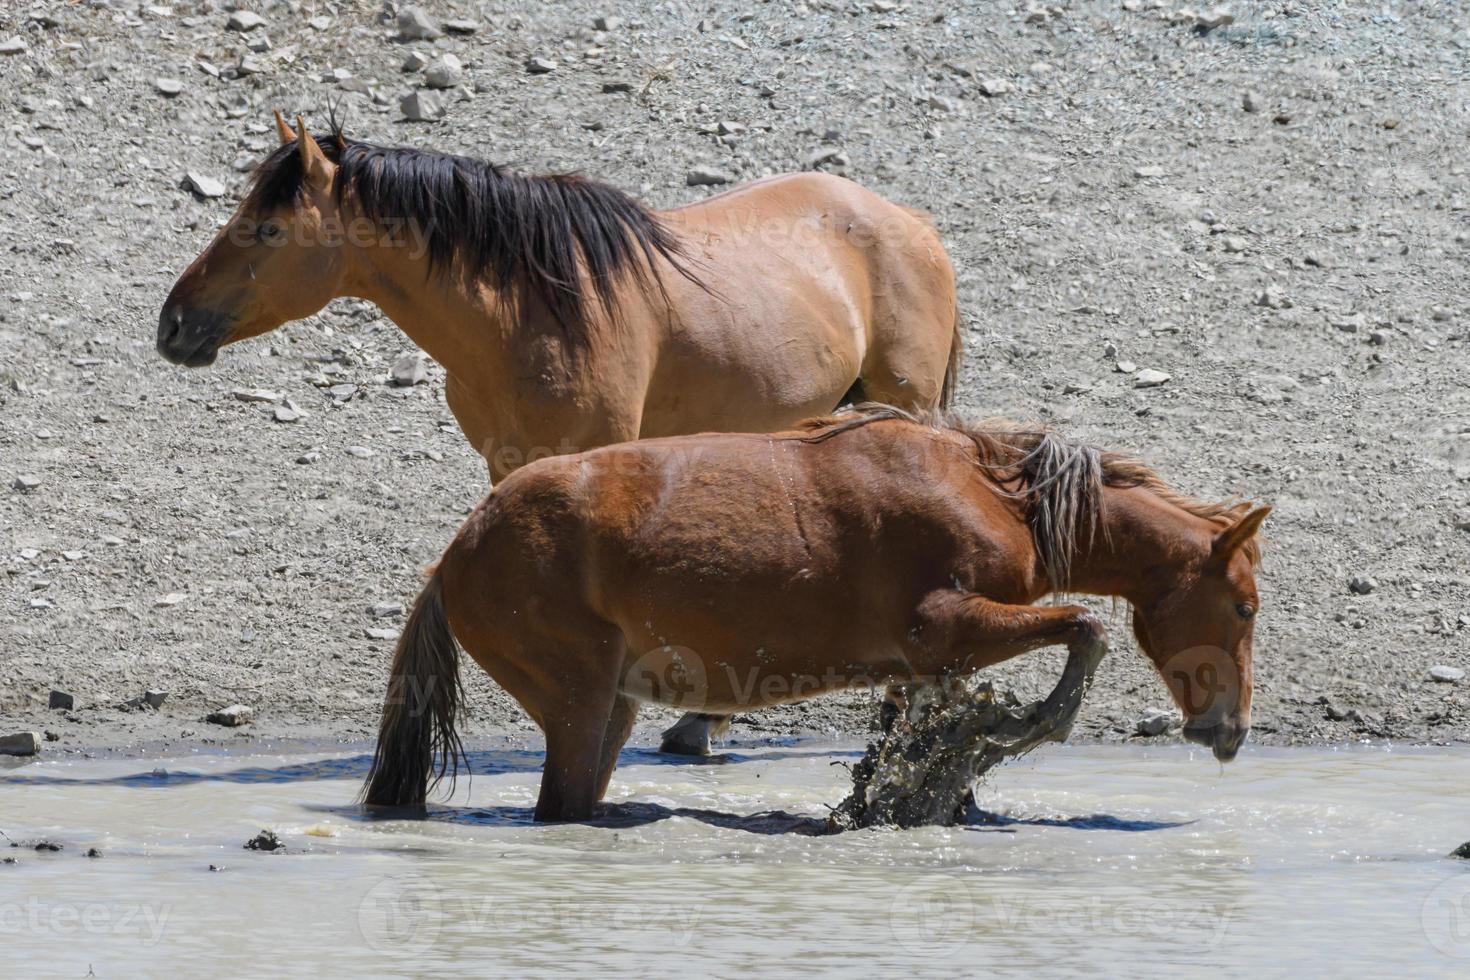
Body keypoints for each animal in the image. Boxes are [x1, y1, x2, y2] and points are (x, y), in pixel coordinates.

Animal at [361, 405, 1270, 822]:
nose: (1230, 729)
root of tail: (456, 552)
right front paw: (1030, 727)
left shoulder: (930, 664)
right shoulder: (945, 626)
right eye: (1244, 605)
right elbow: (1086, 627)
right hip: (580, 704)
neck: (989, 493)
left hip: (611, 707)